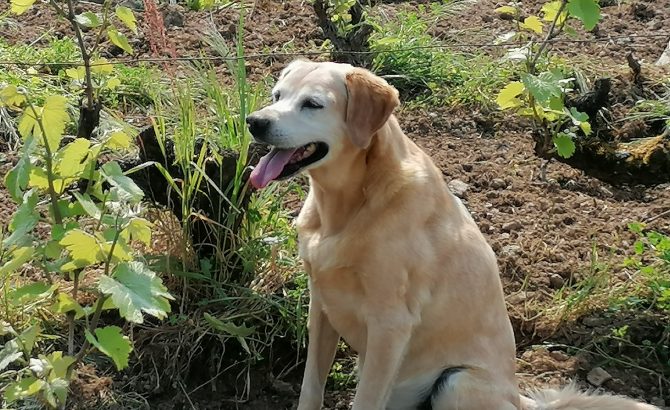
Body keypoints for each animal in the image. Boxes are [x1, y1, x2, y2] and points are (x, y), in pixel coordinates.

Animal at [247, 60, 660, 410]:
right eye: (277, 95)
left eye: (312, 104)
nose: (254, 121)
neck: (349, 204)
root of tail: (517, 397)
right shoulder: (321, 306)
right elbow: (311, 388)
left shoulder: (390, 325)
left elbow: (365, 400)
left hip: (457, 382)